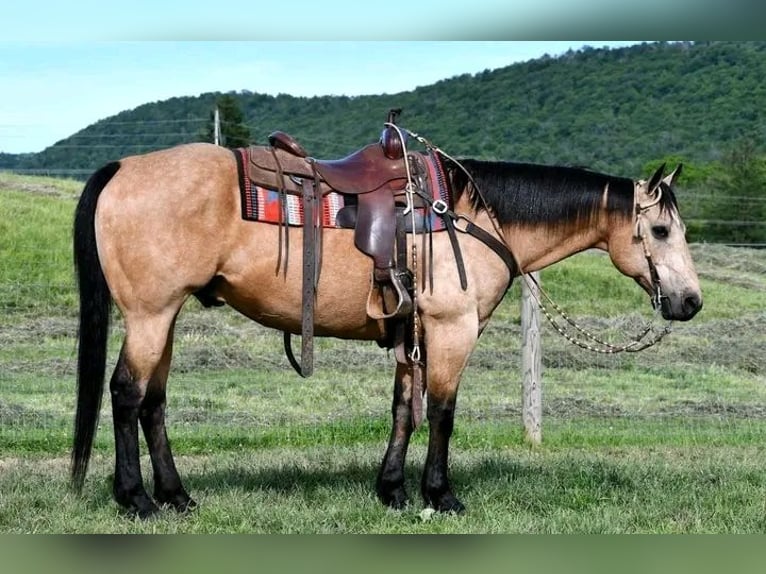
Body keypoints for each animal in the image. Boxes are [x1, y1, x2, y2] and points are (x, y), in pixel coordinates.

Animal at [69, 120, 704, 516]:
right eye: (661, 230)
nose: (691, 301)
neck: (473, 216)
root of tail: (123, 166)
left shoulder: (410, 332)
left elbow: (404, 409)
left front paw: (392, 490)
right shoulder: (451, 329)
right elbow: (443, 412)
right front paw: (440, 495)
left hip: (165, 316)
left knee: (153, 402)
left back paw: (176, 496)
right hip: (151, 315)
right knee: (126, 394)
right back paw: (138, 500)